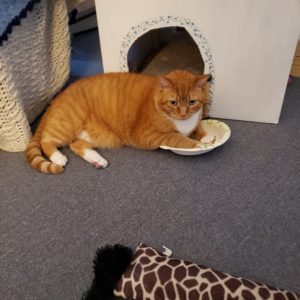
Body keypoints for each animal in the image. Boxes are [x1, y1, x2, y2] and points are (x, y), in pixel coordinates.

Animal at [27, 70, 211, 173]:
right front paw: (198, 145)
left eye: (192, 102)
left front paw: (206, 136)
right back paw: (58, 157)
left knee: (76, 145)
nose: (183, 114)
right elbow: (177, 137)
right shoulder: (148, 135)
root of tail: (58, 96)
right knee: (46, 141)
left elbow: (198, 127)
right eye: (173, 102)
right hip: (66, 126)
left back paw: (97, 160)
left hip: (97, 135)